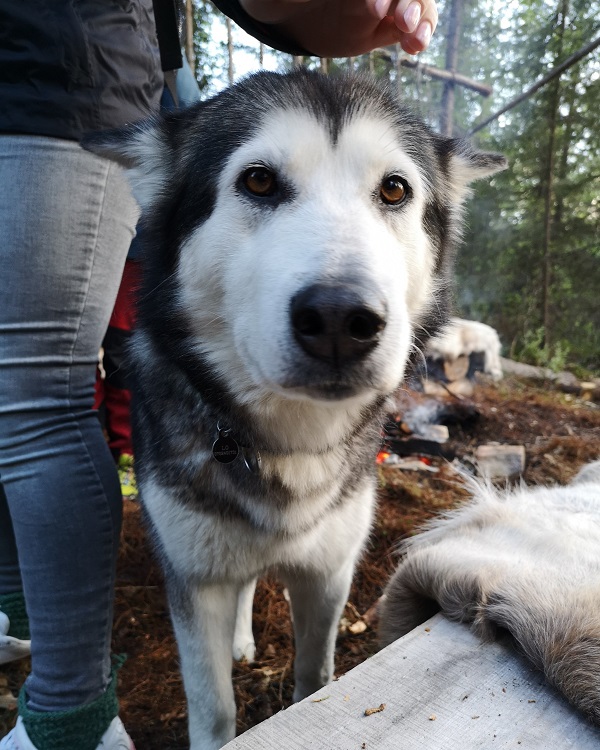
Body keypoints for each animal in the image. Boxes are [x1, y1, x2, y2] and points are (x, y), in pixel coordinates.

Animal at [84, 72, 506, 750]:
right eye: (257, 181)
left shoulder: (329, 573)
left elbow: (316, 676)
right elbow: (214, 709)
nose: (340, 319)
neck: (292, 441)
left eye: (395, 189)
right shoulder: (195, 581)